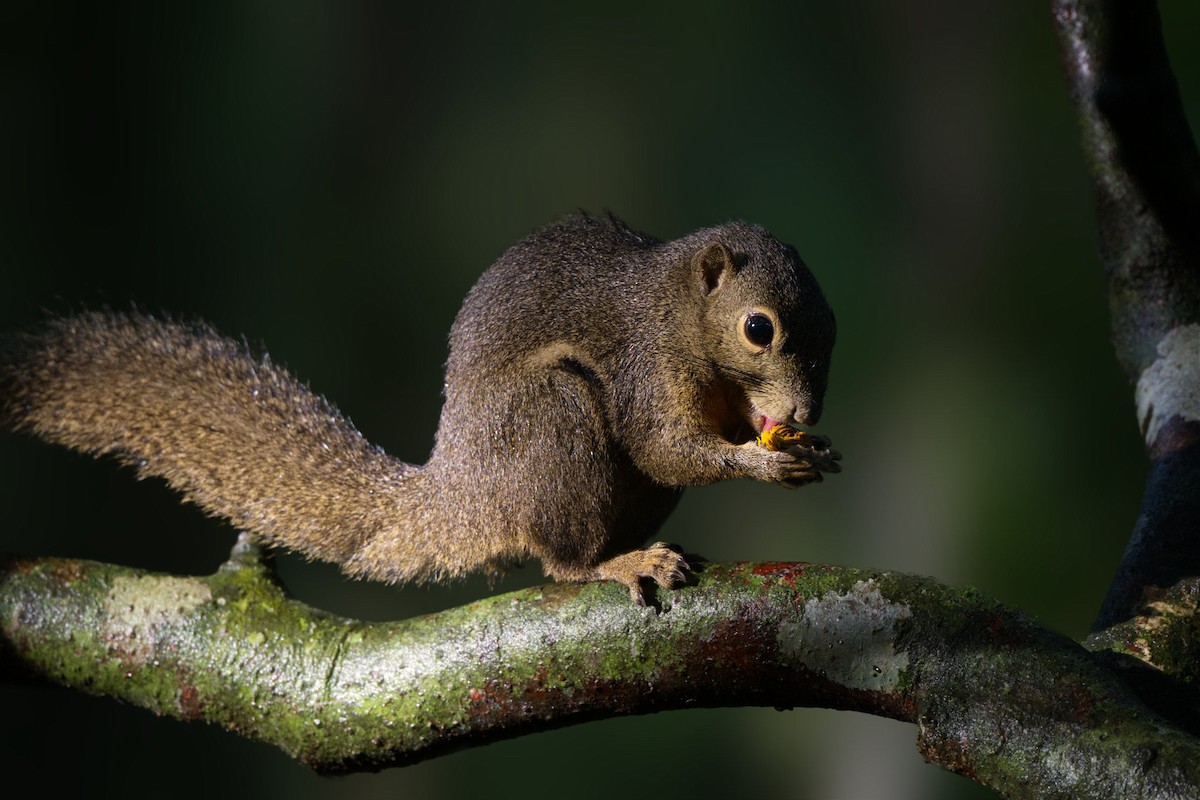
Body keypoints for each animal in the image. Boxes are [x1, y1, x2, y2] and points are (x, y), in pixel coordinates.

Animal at [1, 213, 838, 604]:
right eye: (758, 329)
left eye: (834, 330)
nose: (801, 409)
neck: (680, 314)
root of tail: (464, 492)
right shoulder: (645, 364)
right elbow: (664, 444)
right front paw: (762, 462)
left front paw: (802, 447)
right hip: (552, 415)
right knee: (561, 560)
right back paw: (615, 562)